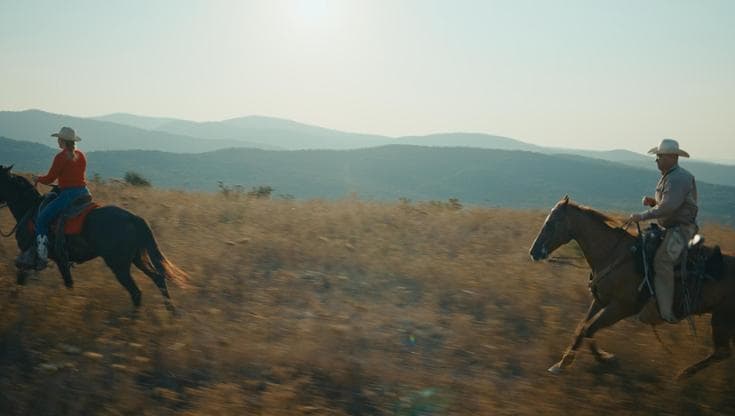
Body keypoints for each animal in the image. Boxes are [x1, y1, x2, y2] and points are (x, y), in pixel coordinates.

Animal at [528, 197, 735, 378]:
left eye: (552, 223)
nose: (534, 252)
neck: (612, 253)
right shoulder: (600, 300)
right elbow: (581, 328)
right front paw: (563, 363)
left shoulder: (622, 307)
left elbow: (589, 329)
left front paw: (605, 359)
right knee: (723, 352)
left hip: (721, 319)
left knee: (722, 352)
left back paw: (683, 375)